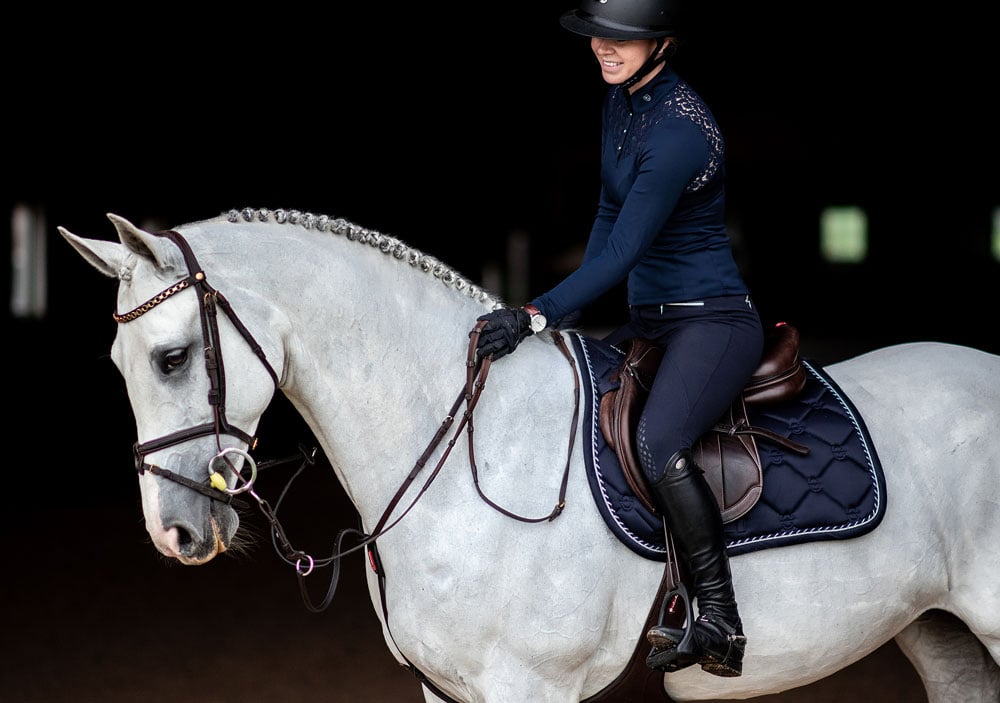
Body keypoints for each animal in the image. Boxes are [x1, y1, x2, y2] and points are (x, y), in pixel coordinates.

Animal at [58, 208, 1000, 703]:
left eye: (172, 358)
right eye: (120, 364)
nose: (175, 532)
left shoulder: (527, 687)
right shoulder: (446, 690)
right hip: (945, 634)